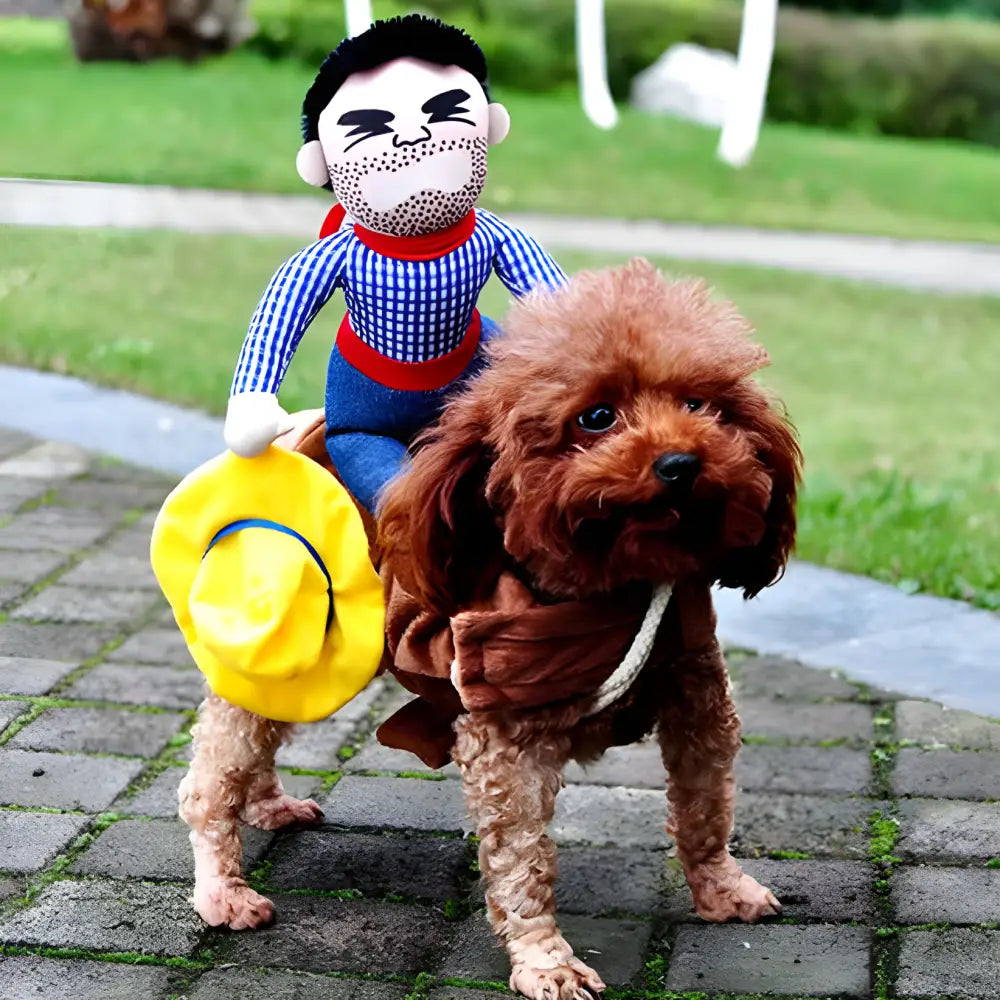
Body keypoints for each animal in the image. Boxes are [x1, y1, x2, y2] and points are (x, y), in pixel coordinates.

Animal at [376, 260, 804, 1000]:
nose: (681, 463)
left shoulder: (698, 697)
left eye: (700, 405)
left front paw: (721, 889)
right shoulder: (504, 744)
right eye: (596, 417)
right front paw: (545, 959)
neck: (611, 595)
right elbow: (521, 862)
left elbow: (705, 806)